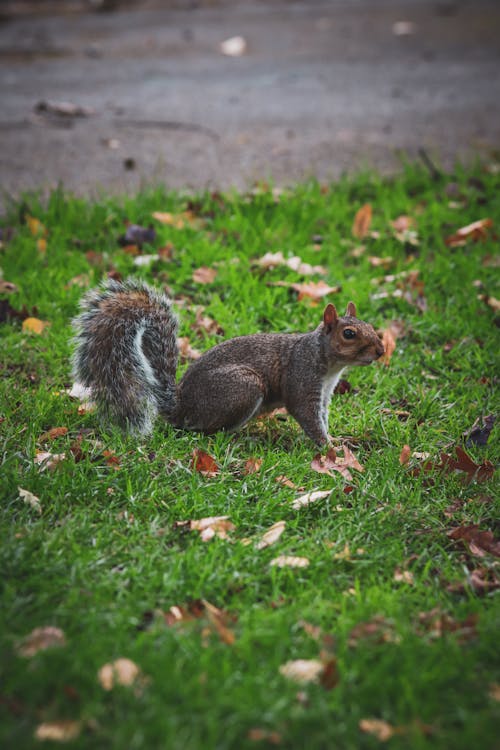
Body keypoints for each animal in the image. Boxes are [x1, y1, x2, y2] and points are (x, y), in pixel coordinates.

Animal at [71, 280, 382, 446]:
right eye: (349, 333)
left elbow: (323, 416)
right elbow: (307, 415)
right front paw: (329, 448)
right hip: (243, 387)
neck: (327, 362)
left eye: (369, 324)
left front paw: (336, 441)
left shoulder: (325, 392)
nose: (380, 350)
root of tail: (181, 407)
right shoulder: (302, 378)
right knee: (204, 431)